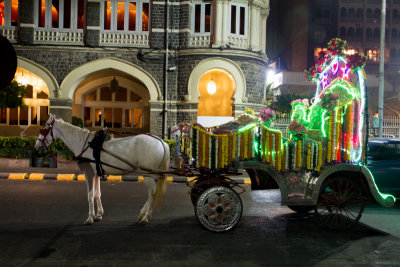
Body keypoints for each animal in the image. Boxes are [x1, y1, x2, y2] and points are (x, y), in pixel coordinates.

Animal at [34, 113, 170, 226]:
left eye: (44, 128)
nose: (37, 146)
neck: (86, 144)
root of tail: (161, 141)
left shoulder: (88, 173)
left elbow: (90, 195)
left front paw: (90, 218)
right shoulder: (96, 174)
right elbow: (97, 193)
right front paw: (98, 214)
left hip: (147, 173)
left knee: (152, 193)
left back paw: (145, 217)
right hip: (152, 173)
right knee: (153, 192)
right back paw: (143, 214)